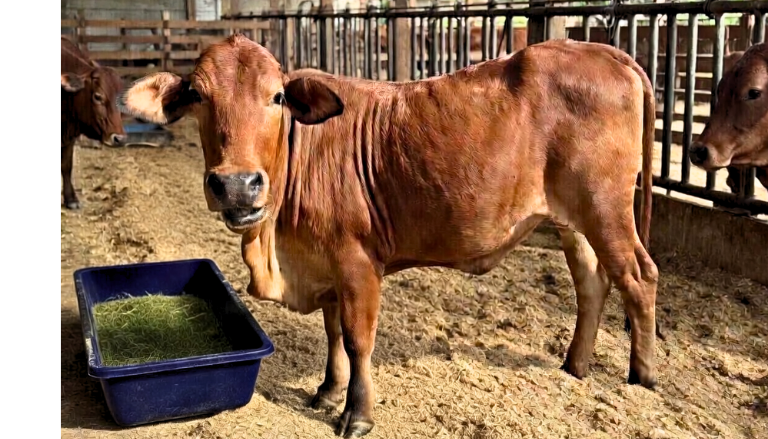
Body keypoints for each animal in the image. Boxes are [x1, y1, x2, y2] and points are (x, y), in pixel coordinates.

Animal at [119, 34, 660, 438]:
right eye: (197, 96)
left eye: (277, 96)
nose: (235, 184)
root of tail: (605, 51)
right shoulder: (326, 265)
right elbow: (333, 332)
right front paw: (327, 390)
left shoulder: (357, 262)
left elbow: (358, 339)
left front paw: (357, 415)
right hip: (574, 223)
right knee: (592, 283)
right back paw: (575, 366)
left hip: (607, 211)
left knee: (639, 278)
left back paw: (643, 376)